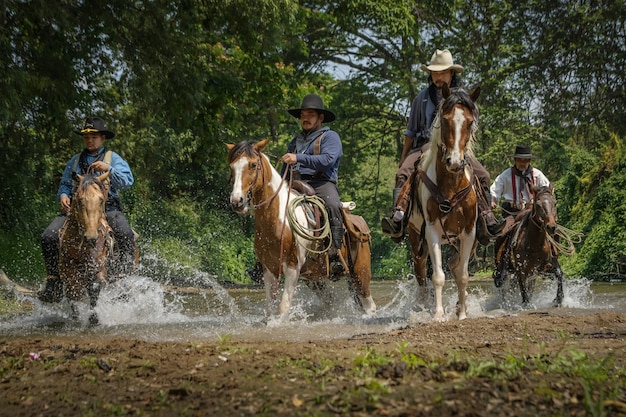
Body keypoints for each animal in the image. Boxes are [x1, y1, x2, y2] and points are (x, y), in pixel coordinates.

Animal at [225, 140, 376, 318]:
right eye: (232, 166)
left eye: (253, 165)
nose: (237, 201)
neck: (278, 221)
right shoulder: (269, 270)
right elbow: (270, 310)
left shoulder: (292, 268)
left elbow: (283, 308)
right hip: (315, 280)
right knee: (329, 302)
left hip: (360, 273)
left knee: (369, 305)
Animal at [404, 83, 478, 318]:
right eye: (445, 120)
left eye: (470, 122)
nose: (454, 162)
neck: (451, 186)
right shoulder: (432, 230)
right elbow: (437, 277)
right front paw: (438, 314)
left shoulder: (469, 232)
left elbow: (462, 275)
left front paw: (462, 313)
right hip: (415, 238)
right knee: (421, 274)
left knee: (455, 266)